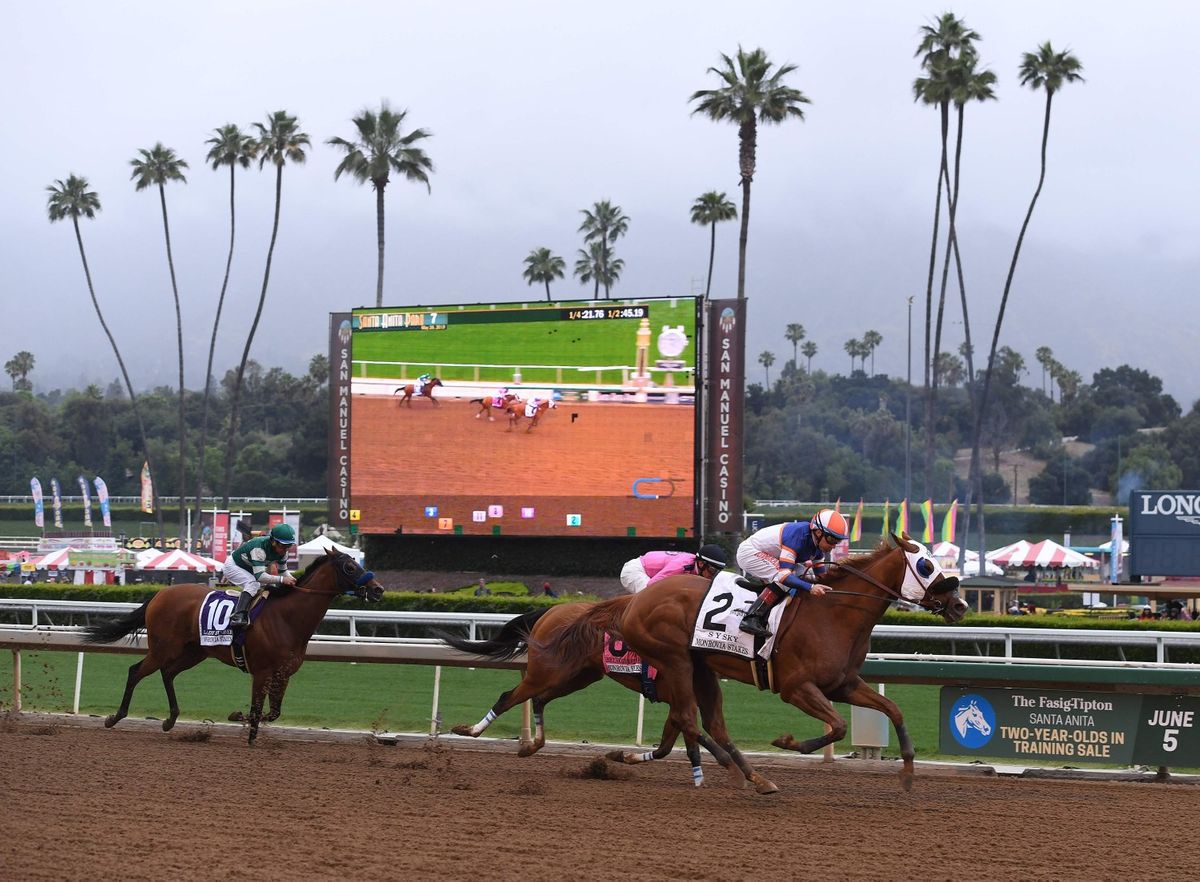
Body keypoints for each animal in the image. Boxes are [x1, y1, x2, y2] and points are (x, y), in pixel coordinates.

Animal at [348, 296, 700, 537]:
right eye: (440, 381)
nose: (555, 407)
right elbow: (439, 401)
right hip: (426, 395)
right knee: (450, 404)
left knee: (470, 408)